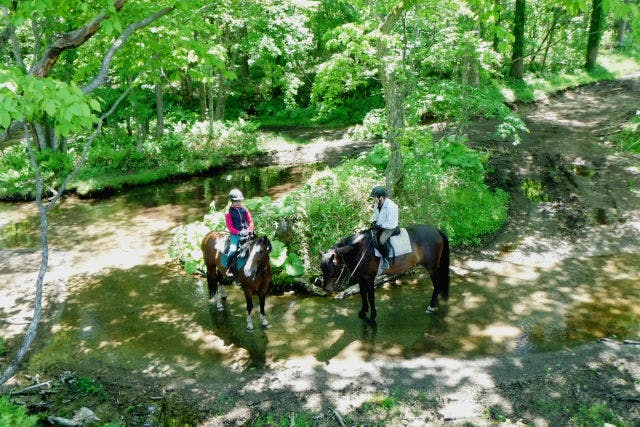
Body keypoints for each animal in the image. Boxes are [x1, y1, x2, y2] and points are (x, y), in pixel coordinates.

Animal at [320, 224, 450, 324]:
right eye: (322, 268)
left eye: (332, 269)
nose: (326, 288)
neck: (360, 249)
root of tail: (437, 230)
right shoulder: (361, 277)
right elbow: (362, 294)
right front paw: (363, 312)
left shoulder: (369, 278)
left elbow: (371, 297)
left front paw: (372, 317)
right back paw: (436, 304)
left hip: (431, 267)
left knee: (437, 285)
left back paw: (431, 306)